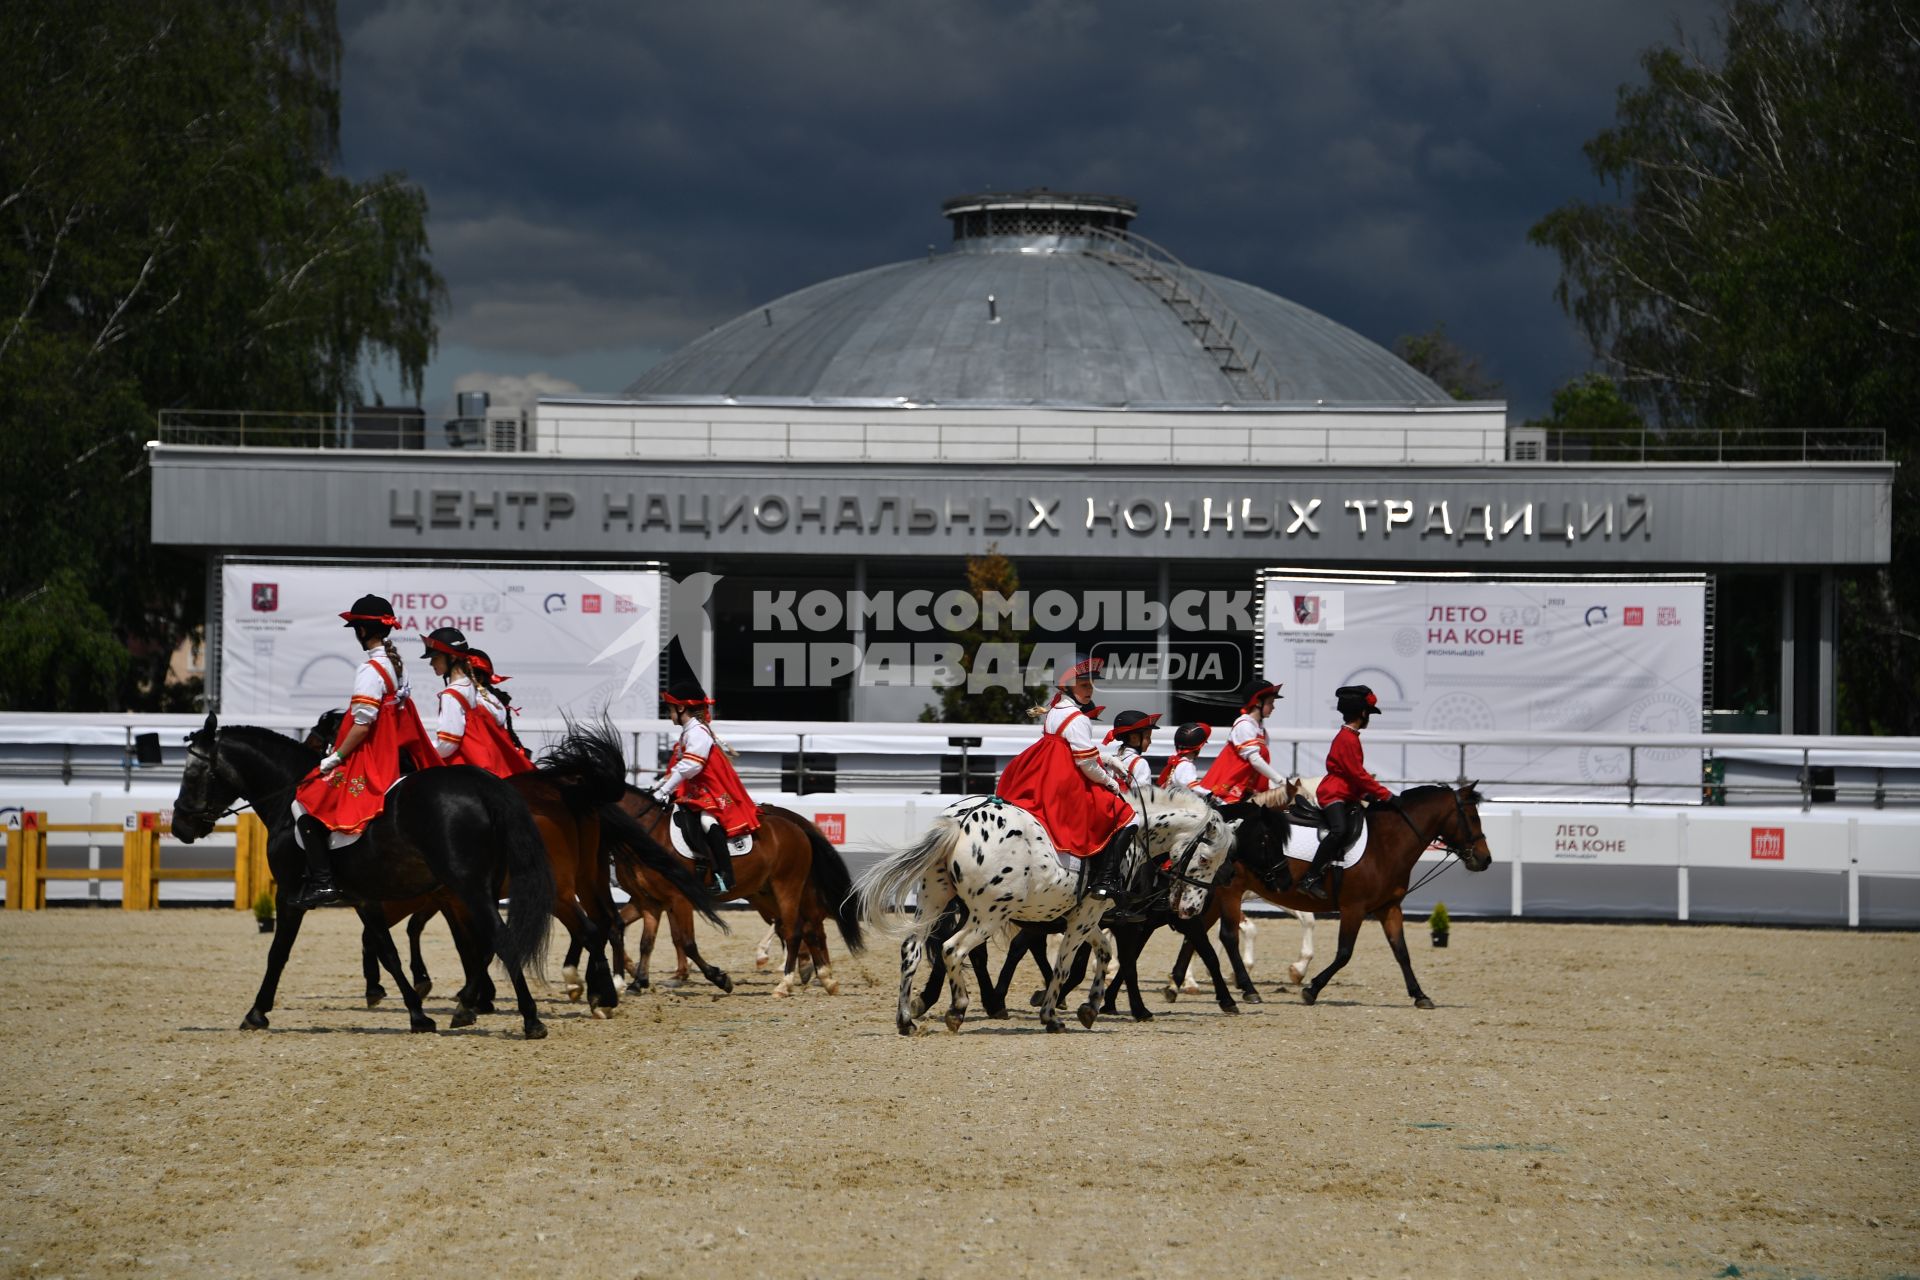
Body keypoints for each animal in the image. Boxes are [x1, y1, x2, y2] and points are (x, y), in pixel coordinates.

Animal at [168, 717, 560, 1043]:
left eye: (191, 774)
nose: (179, 827)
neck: (287, 796)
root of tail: (483, 784)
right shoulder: (363, 899)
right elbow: (388, 953)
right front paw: (418, 1015)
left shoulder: (289, 896)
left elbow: (277, 953)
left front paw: (256, 1012)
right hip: (479, 889)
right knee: (486, 944)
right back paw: (472, 1008)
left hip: (469, 888)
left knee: (501, 939)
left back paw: (529, 1019)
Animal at [856, 786, 1228, 1036]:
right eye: (1205, 859)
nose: (1193, 908)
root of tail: (961, 820)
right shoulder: (1086, 918)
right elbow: (1065, 966)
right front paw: (1052, 1015)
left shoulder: (1086, 916)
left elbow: (1103, 953)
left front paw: (1090, 1007)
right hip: (987, 916)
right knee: (953, 949)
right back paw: (958, 1009)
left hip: (935, 901)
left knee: (913, 949)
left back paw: (907, 1019)